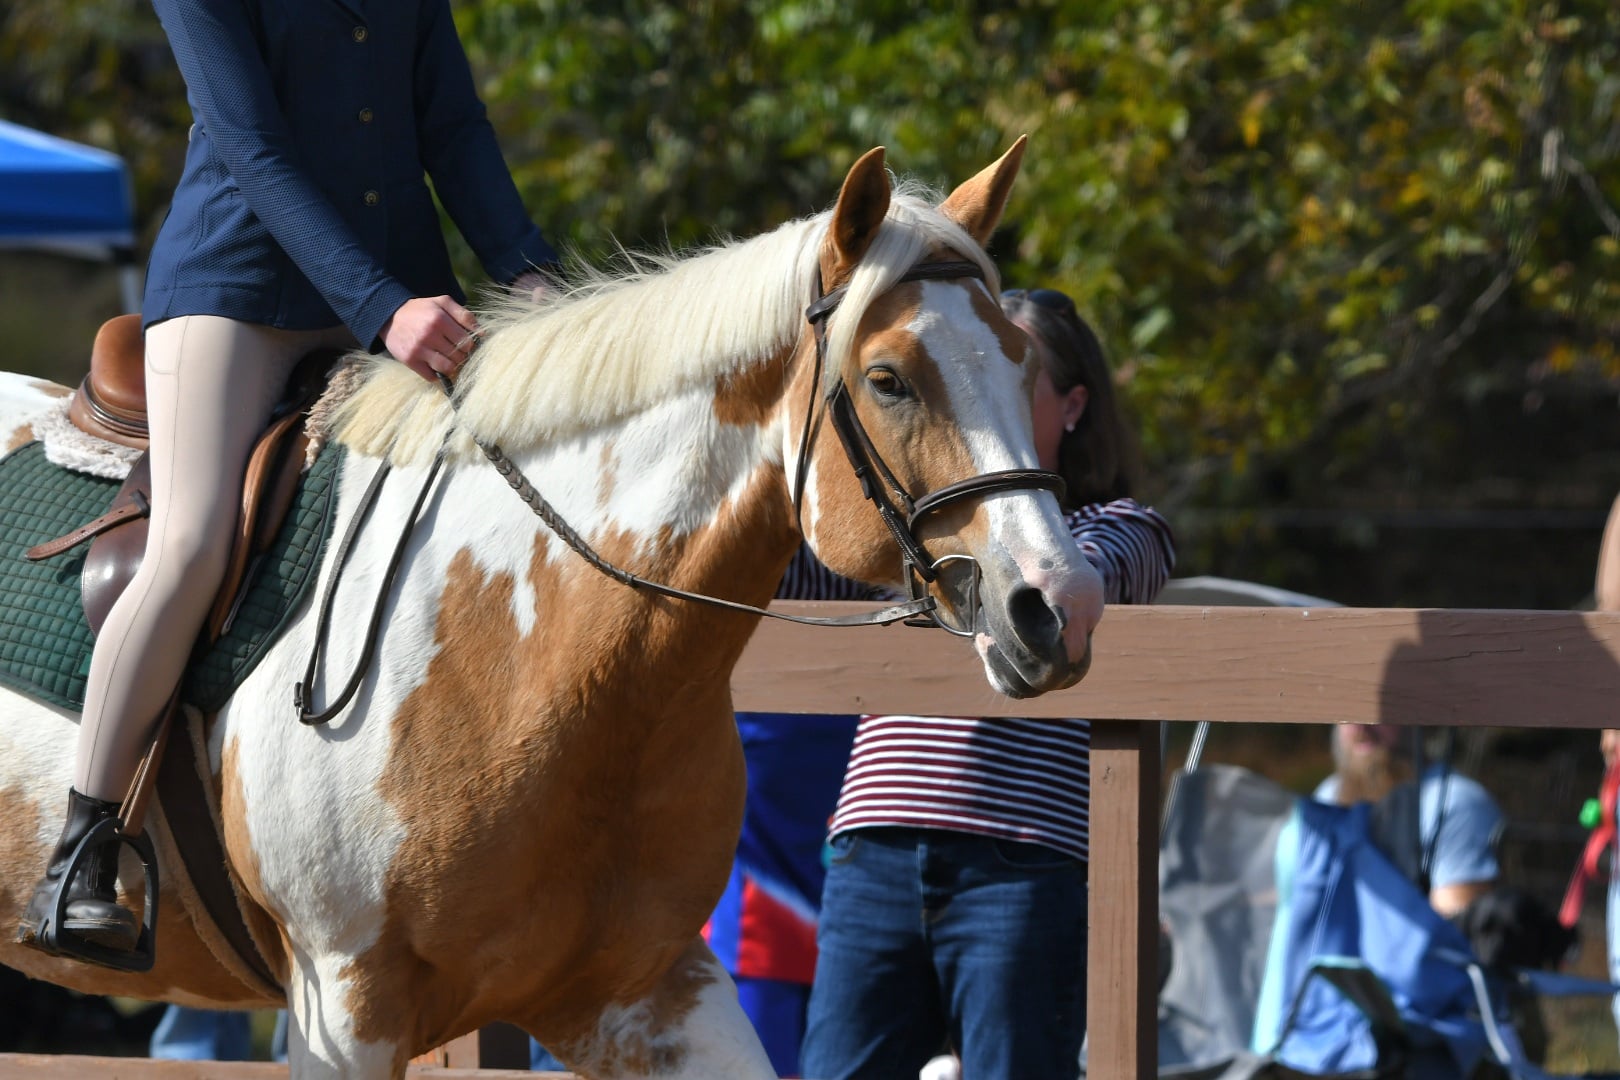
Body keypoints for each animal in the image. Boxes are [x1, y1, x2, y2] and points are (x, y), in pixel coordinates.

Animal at [0, 139, 1104, 1078]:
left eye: (1024, 365)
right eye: (888, 379)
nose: (1061, 605)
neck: (544, 661)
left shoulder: (646, 988)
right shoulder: (345, 1007)